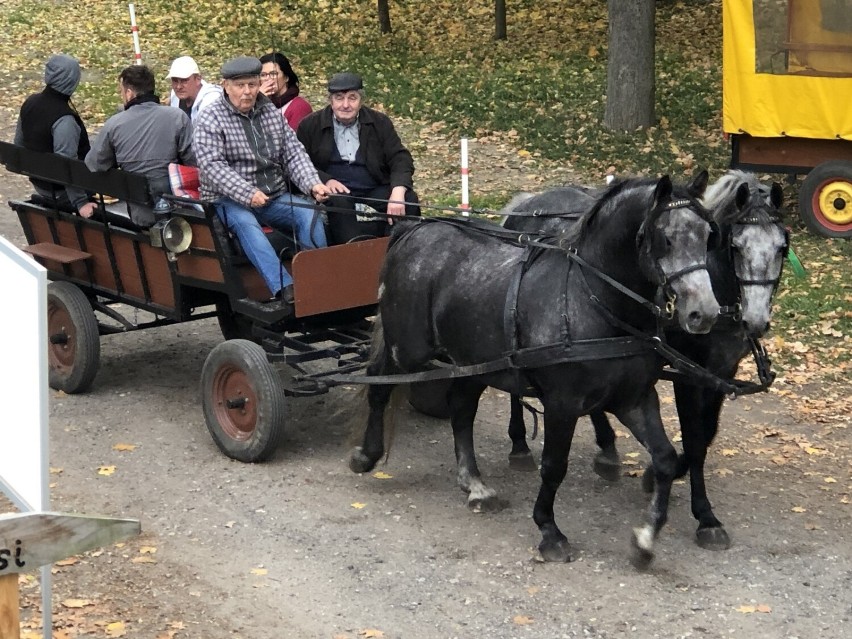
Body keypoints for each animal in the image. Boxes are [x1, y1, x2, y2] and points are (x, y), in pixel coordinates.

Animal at [352, 176, 720, 568]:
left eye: (708, 236)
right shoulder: (562, 403)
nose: (704, 313)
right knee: (379, 384)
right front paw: (549, 531)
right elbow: (554, 465)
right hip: (406, 349)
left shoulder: (634, 398)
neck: (592, 300)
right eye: (665, 238)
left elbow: (664, 459)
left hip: (469, 361)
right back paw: (367, 454)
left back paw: (474, 484)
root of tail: (412, 229)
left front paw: (646, 539)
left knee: (461, 411)